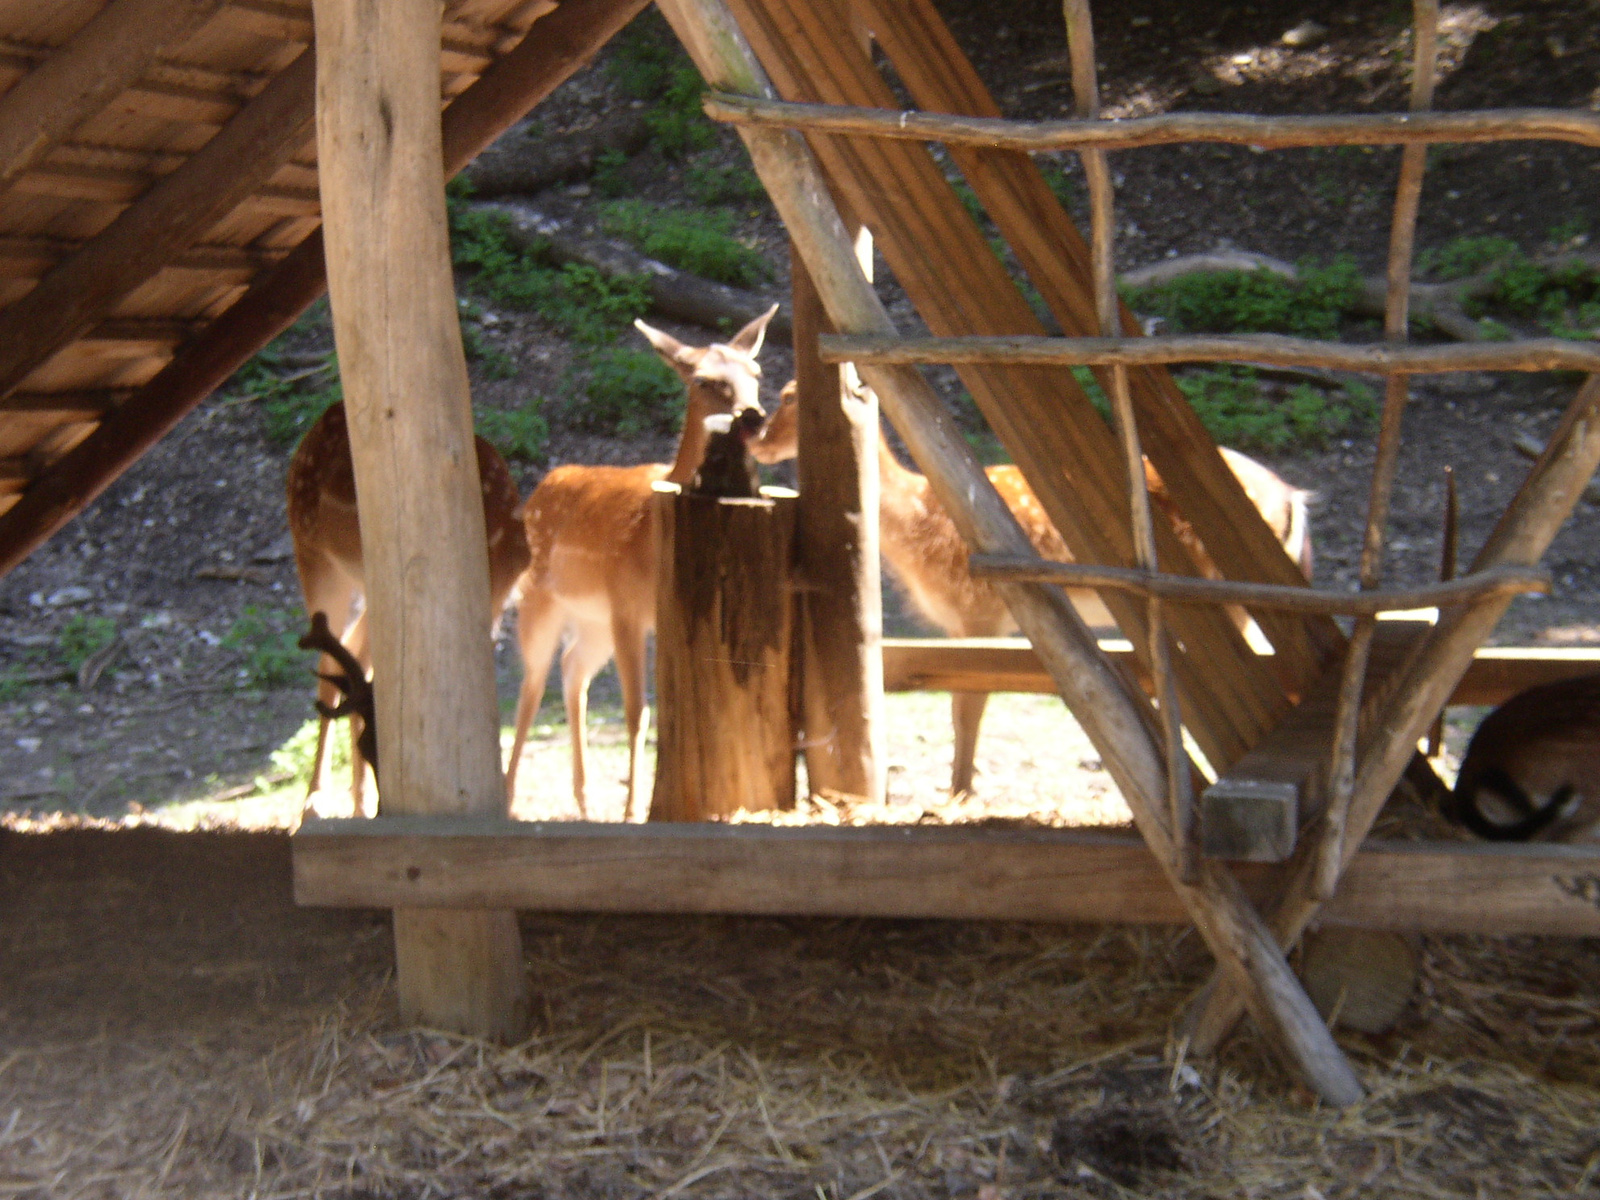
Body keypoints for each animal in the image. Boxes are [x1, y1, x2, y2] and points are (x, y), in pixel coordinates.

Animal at [288, 400, 531, 812]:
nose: (385, 805)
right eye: (368, 747)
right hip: (312, 553)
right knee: (330, 660)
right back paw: (316, 799)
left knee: (352, 655)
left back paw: (351, 800)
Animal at [499, 305, 774, 825]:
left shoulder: (657, 613)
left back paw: (585, 801)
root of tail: (540, 487)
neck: (650, 530)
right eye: (704, 379)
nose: (752, 414)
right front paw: (633, 812)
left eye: (756, 373)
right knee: (532, 683)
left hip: (592, 621)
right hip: (540, 600)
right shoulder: (626, 606)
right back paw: (507, 798)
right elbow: (636, 711)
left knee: (572, 669)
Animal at [748, 385, 1312, 800]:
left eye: (792, 397)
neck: (918, 521)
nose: (755, 439)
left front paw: (958, 793)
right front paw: (957, 788)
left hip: (1223, 596)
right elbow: (961, 701)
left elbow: (969, 703)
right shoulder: (962, 622)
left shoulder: (978, 608)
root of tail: (1295, 499)